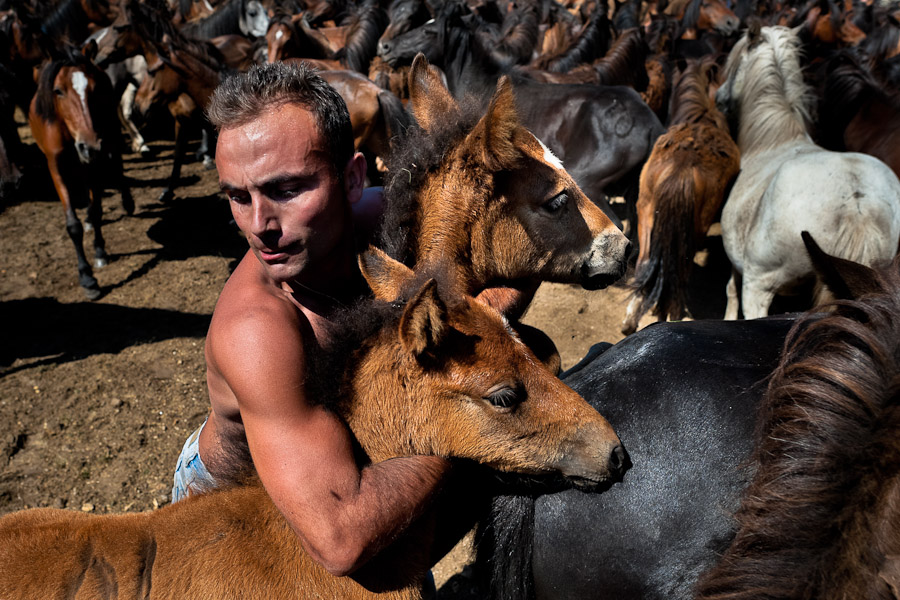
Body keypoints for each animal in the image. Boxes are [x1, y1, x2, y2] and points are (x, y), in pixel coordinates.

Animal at [29, 47, 134, 300]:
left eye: (94, 89)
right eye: (58, 91)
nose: (90, 145)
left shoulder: (93, 162)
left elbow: (97, 211)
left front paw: (99, 252)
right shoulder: (56, 167)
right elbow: (73, 224)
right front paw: (86, 277)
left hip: (111, 132)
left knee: (117, 163)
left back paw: (127, 202)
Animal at [716, 24, 900, 318]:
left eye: (734, 64)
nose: (719, 97)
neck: (772, 141)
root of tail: (858, 202)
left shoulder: (740, 269)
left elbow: (730, 292)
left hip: (758, 286)